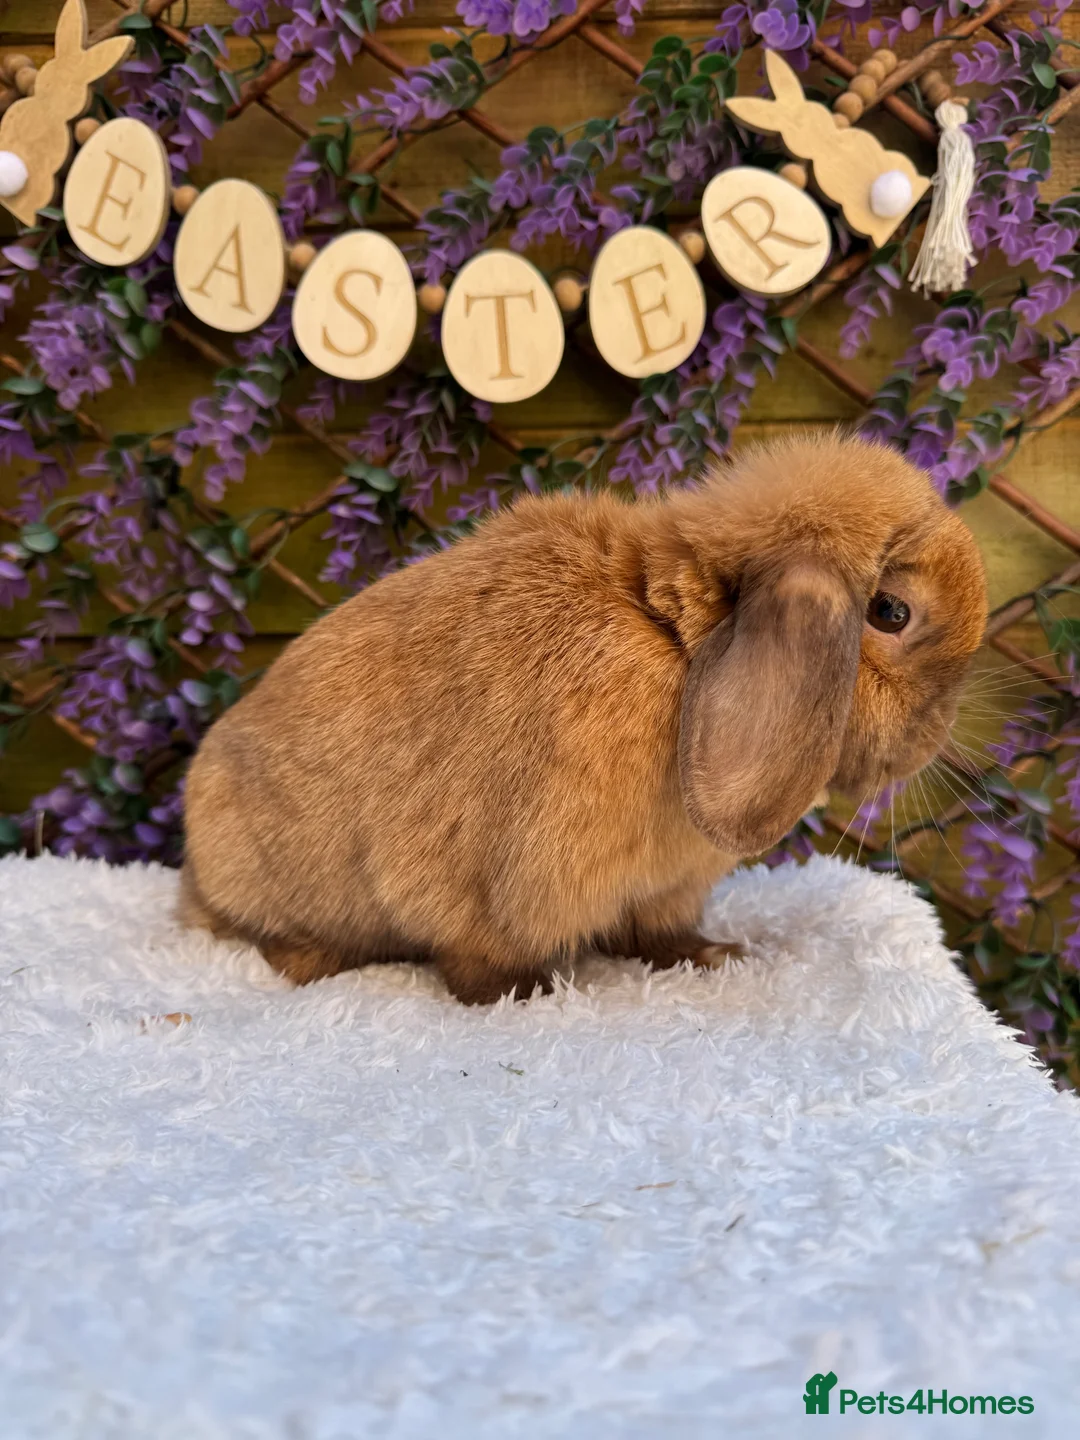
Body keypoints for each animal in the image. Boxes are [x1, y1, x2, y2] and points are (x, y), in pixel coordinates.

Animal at [180, 433, 987, 1005]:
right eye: (891, 613)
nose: (932, 739)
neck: (674, 647)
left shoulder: (663, 890)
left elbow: (659, 934)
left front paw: (712, 956)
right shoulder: (490, 888)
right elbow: (479, 959)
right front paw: (530, 993)